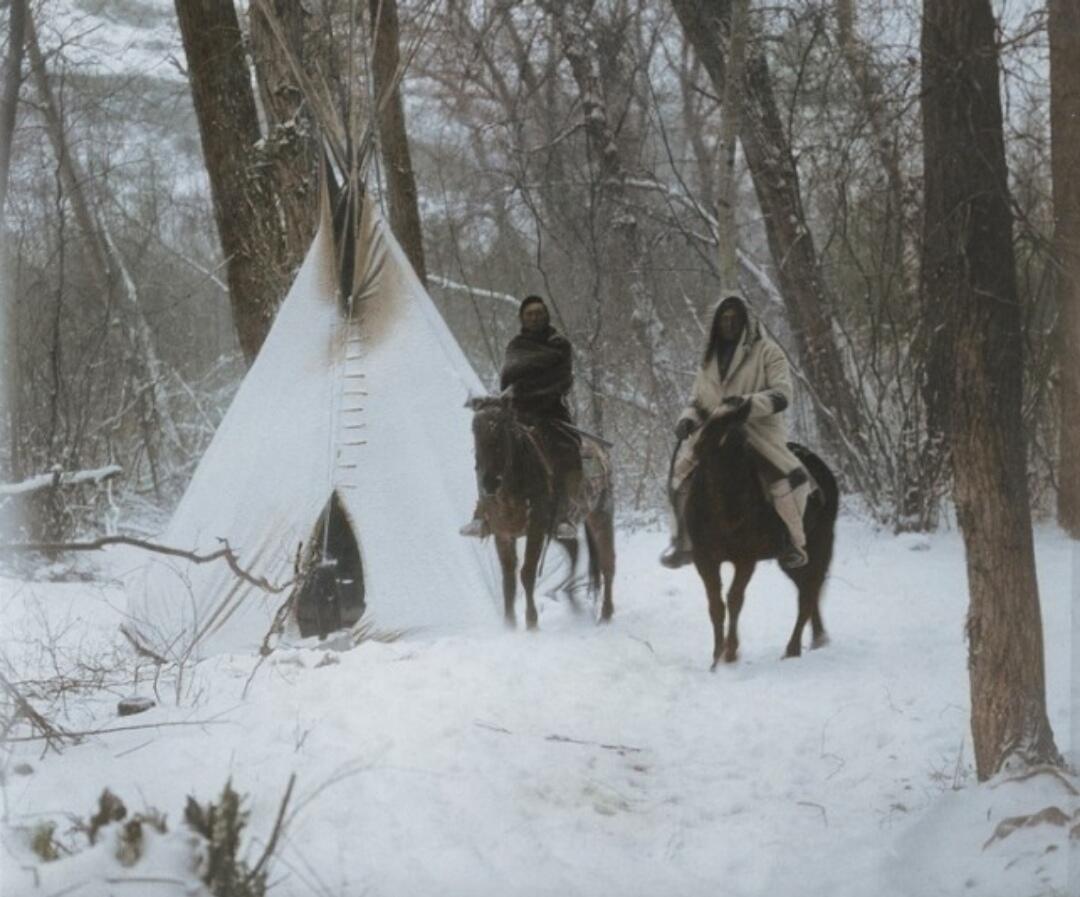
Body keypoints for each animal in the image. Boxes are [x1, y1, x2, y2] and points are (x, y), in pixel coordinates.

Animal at [466, 397, 613, 626]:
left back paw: (605, 614)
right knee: (574, 549)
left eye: (502, 429)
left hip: (600, 516)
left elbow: (526, 573)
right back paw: (572, 599)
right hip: (556, 530)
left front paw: (531, 622)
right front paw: (510, 624)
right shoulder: (503, 534)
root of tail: (600, 453)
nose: (489, 484)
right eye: (474, 429)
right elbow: (508, 579)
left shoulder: (535, 530)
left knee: (607, 563)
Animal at [682, 414, 842, 664]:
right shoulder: (705, 560)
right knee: (807, 589)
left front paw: (730, 653)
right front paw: (717, 657)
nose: (737, 515)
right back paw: (818, 638)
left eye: (743, 450)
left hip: (819, 544)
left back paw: (793, 649)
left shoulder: (745, 559)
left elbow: (734, 599)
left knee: (808, 592)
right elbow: (715, 605)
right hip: (791, 561)